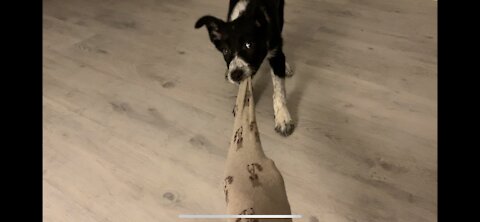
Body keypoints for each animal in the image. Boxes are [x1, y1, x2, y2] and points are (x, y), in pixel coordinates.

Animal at [196, 0, 294, 136]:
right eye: (225, 51)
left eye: (249, 45)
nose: (235, 75)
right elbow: (245, 87)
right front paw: (242, 103)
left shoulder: (275, 52)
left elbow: (279, 89)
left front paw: (282, 118)